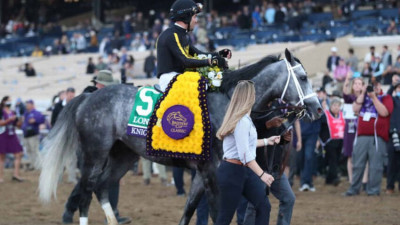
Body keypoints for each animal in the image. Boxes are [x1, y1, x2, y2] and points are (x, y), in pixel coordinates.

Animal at [36, 49, 318, 225]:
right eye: (303, 77)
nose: (317, 108)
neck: (228, 103)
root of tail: (88, 97)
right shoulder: (212, 173)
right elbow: (216, 212)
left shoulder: (201, 174)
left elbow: (189, 211)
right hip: (94, 155)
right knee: (85, 192)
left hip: (123, 157)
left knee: (102, 187)